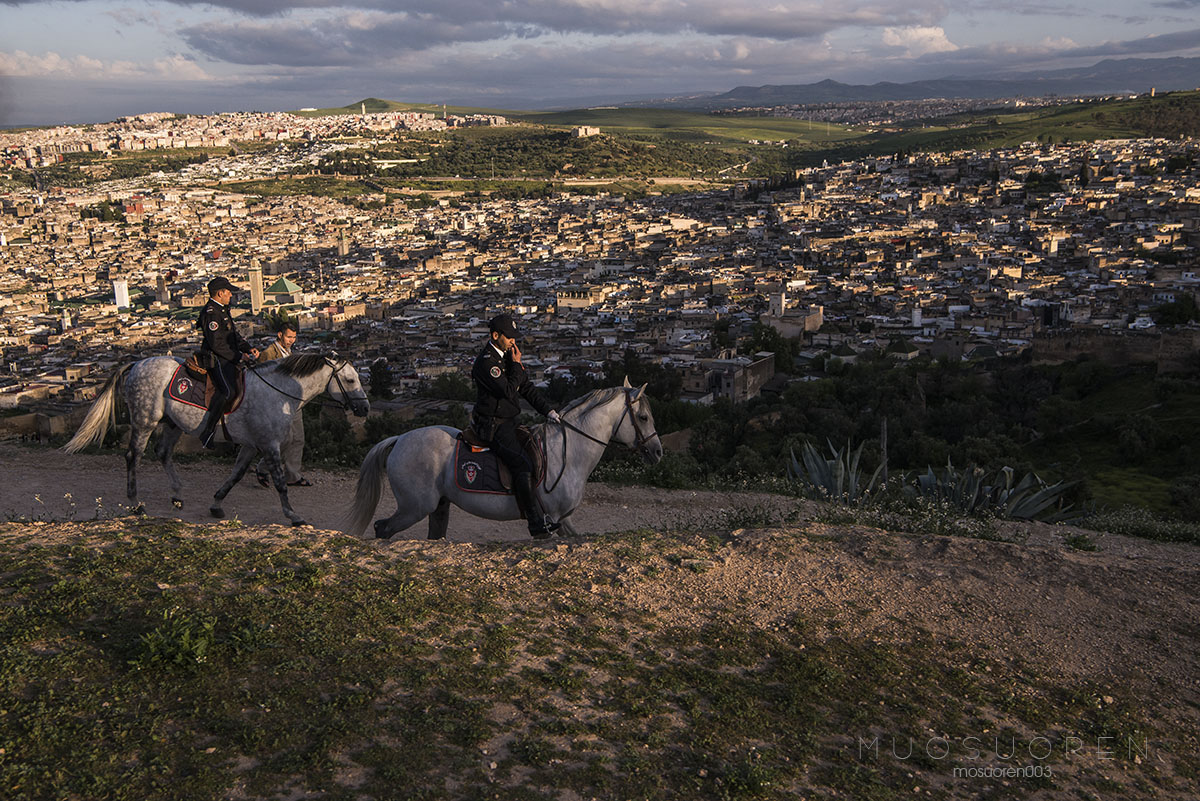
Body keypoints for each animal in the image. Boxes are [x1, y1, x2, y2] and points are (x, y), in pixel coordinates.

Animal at [60, 354, 367, 525]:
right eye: (351, 380)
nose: (364, 409)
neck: (278, 391)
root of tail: (137, 363)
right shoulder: (268, 444)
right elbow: (280, 481)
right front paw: (293, 515)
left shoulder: (251, 445)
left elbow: (236, 475)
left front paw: (217, 504)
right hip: (145, 419)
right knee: (133, 455)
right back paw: (136, 502)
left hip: (172, 423)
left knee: (163, 452)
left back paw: (177, 495)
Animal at [345, 378, 667, 541]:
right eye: (642, 417)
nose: (657, 451)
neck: (570, 451)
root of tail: (399, 439)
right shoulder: (551, 519)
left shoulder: (564, 520)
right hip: (414, 507)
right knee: (383, 529)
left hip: (437, 506)